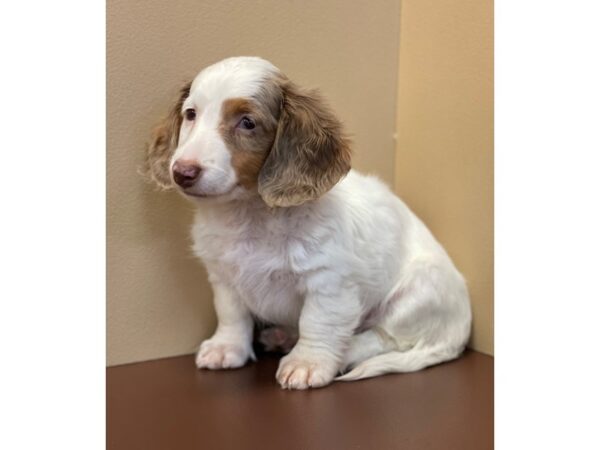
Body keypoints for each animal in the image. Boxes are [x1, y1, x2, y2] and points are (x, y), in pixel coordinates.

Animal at [144, 56, 468, 388]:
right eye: (191, 114)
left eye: (247, 122)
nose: (182, 172)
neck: (250, 214)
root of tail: (458, 334)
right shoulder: (224, 276)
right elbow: (231, 314)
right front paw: (227, 347)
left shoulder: (328, 282)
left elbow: (318, 323)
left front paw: (307, 363)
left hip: (416, 294)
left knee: (385, 337)